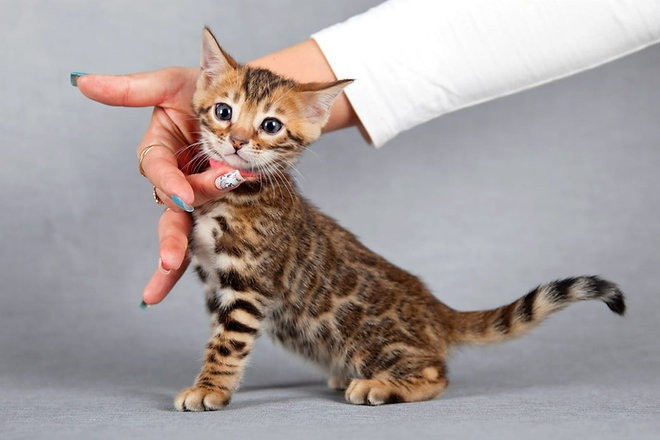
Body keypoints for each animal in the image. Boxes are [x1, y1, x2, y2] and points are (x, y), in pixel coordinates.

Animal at [173, 29, 628, 410]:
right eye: (223, 111)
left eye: (270, 125)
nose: (236, 141)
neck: (233, 195)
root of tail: (437, 311)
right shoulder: (215, 284)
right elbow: (216, 337)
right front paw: (210, 383)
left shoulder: (247, 286)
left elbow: (227, 345)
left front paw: (210, 388)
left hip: (364, 335)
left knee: (436, 373)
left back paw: (379, 385)